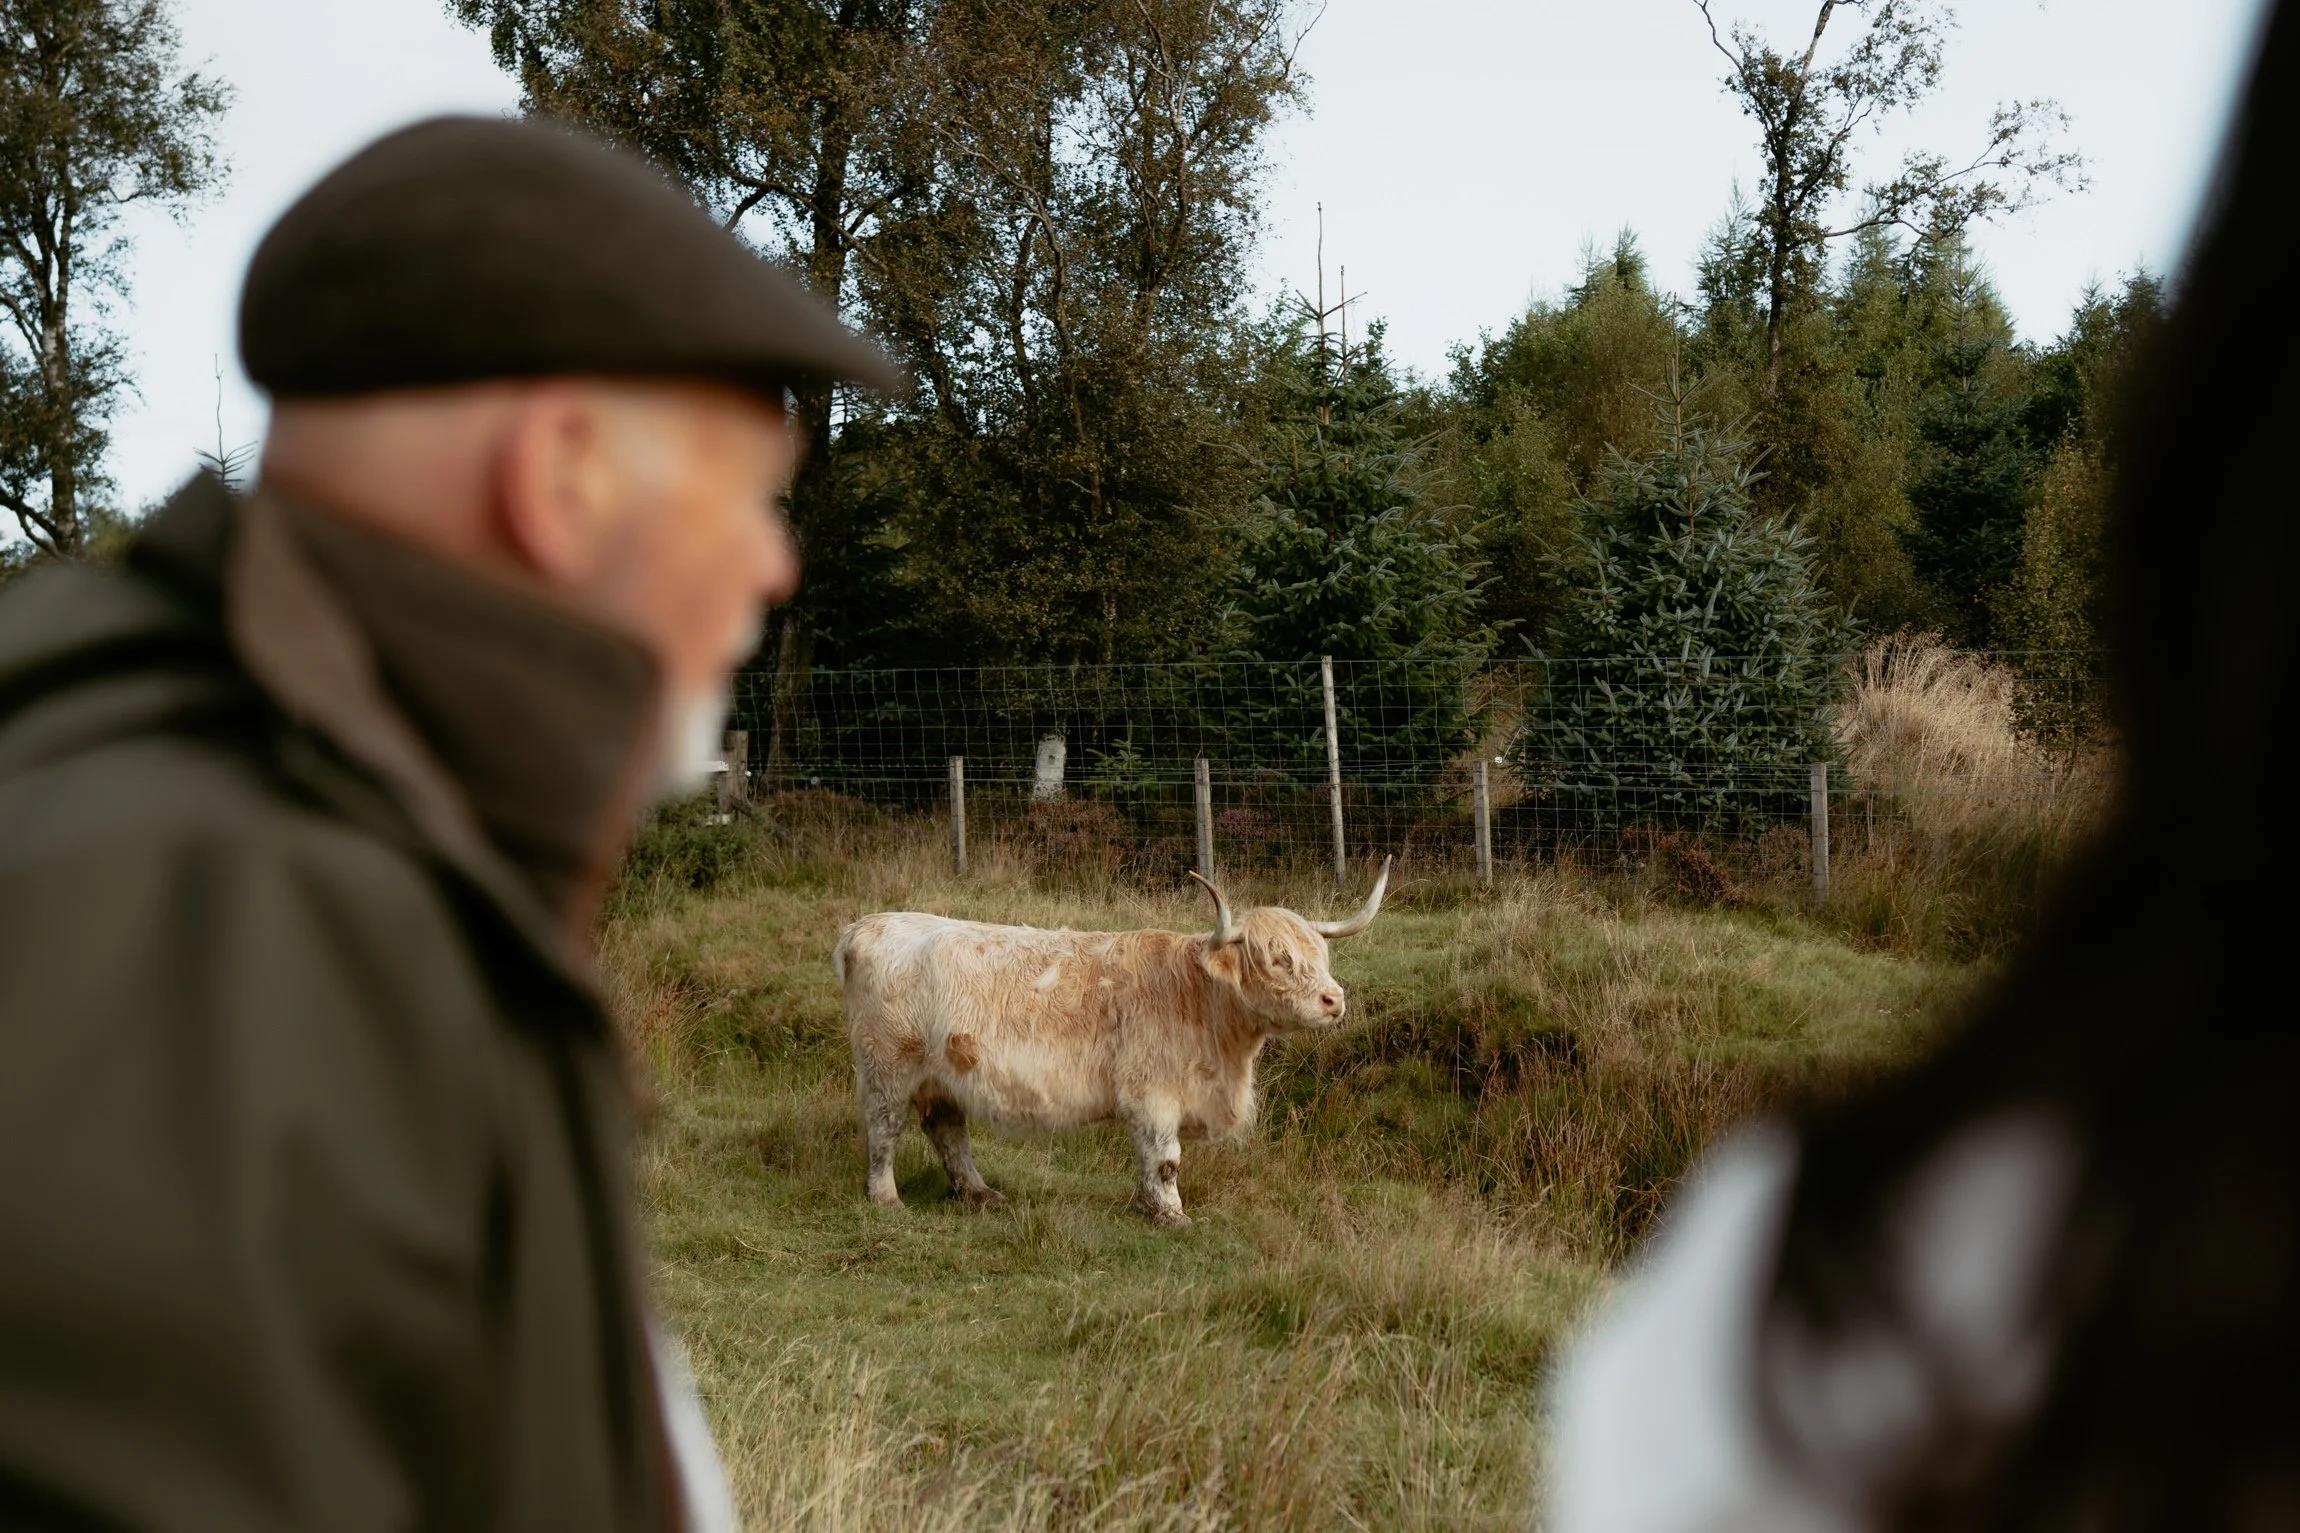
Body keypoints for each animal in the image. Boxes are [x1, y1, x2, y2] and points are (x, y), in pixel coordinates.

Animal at [831, 858, 1392, 1227]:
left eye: (1319, 953)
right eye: (1277, 959)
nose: (1334, 1000)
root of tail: (868, 925)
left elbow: (1151, 1158)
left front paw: (1148, 1205)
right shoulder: (1152, 1094)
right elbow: (1165, 1158)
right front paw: (1171, 1214)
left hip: (944, 1073)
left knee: (947, 1130)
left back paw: (981, 1194)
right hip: (887, 1066)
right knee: (884, 1128)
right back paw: (887, 1199)